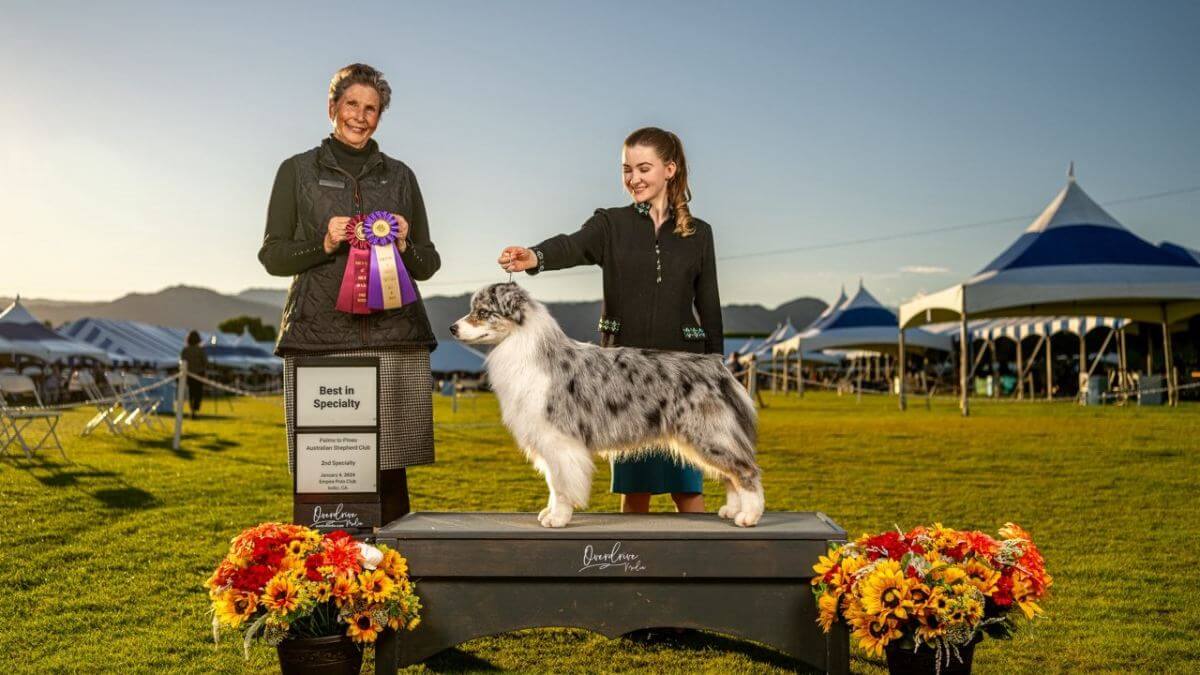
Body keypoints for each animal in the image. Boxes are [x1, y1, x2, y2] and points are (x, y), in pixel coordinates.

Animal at [451, 282, 768, 526]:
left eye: (482, 312)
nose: (452, 328)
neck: (520, 343)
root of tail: (718, 366)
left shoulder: (559, 438)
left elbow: (561, 484)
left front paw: (558, 518)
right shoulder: (547, 439)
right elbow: (553, 482)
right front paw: (550, 513)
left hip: (709, 434)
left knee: (746, 470)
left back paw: (749, 516)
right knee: (730, 475)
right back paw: (732, 510)